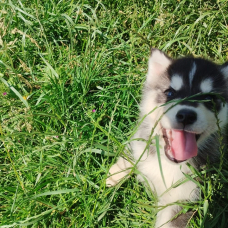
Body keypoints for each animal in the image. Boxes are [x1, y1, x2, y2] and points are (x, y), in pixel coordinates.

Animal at [106, 49, 228, 227]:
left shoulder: (182, 197)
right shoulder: (141, 140)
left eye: (208, 99)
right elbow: (132, 152)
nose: (186, 115)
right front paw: (115, 173)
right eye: (170, 93)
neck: (165, 162)